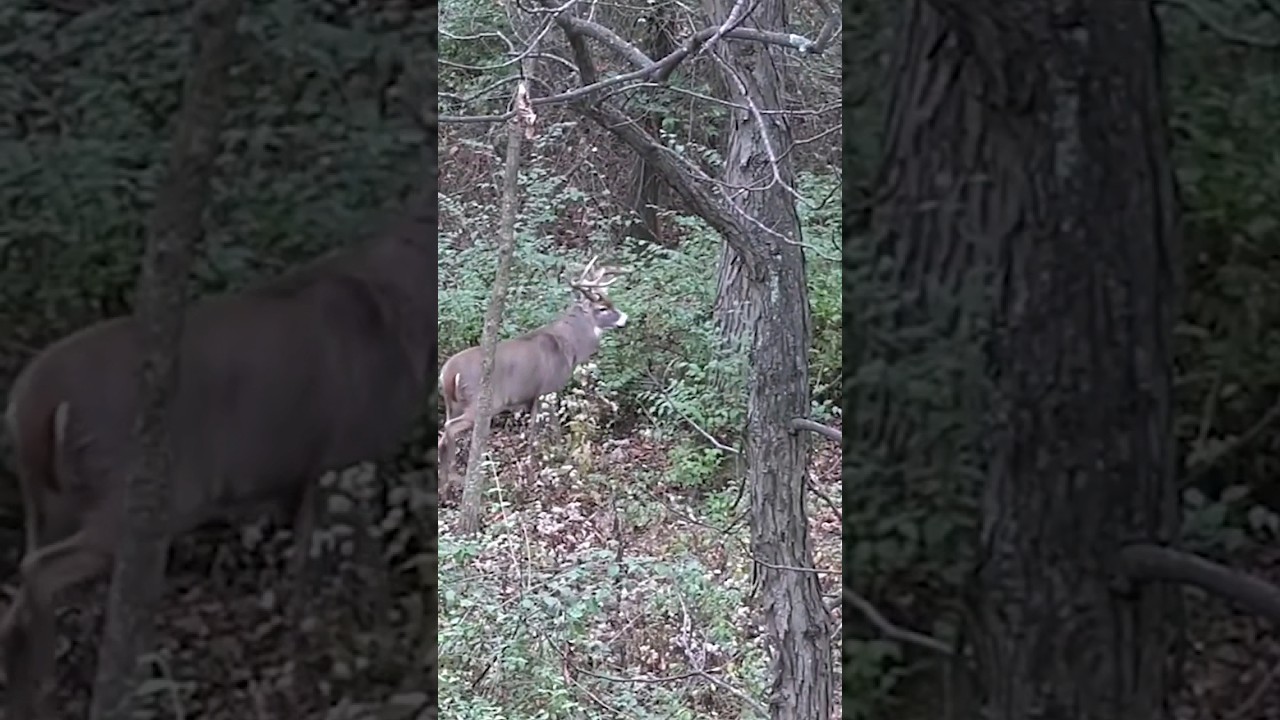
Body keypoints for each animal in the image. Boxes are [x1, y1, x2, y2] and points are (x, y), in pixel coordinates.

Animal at [0, 196, 436, 718]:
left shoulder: (300, 476)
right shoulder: (345, 454)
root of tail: (29, 406)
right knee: (37, 571)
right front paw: (366, 658)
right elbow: (355, 564)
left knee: (15, 599)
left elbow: (307, 568)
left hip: (47, 502)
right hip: (140, 493)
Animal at [437, 257, 628, 501]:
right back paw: (453, 482)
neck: (568, 347)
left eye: (611, 301)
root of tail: (448, 373)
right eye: (602, 308)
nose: (625, 318)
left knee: (443, 433)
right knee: (449, 429)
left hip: (452, 404)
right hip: (481, 403)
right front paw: (548, 463)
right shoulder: (547, 389)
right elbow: (544, 430)